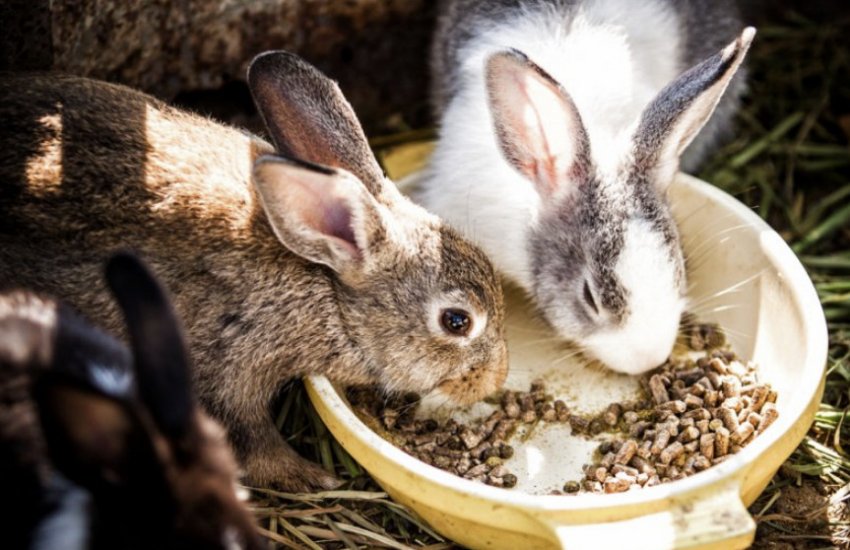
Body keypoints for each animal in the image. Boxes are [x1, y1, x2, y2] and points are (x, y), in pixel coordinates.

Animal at [0, 51, 504, 492]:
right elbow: (250, 441)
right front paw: (309, 476)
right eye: (456, 321)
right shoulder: (225, 372)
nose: (496, 378)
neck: (327, 287)